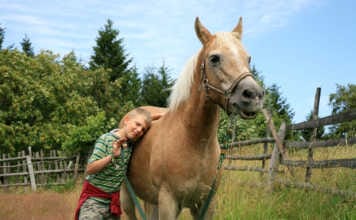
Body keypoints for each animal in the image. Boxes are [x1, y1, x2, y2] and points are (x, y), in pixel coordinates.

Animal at [122, 17, 264, 220]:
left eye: (248, 58)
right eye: (214, 58)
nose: (254, 96)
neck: (192, 141)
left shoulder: (205, 203)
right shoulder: (168, 202)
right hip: (127, 196)